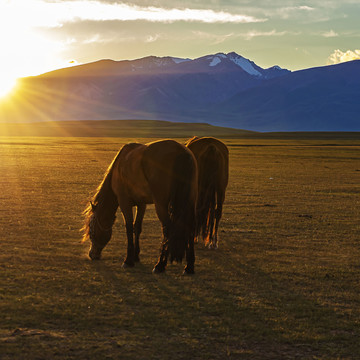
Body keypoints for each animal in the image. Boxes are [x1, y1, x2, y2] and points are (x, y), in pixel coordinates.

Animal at [82, 139, 197, 274]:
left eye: (91, 229)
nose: (92, 254)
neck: (119, 166)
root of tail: (182, 152)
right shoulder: (142, 204)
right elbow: (137, 227)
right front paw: (135, 256)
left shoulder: (124, 202)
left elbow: (129, 228)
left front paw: (128, 260)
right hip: (190, 203)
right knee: (190, 228)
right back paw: (189, 266)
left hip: (161, 205)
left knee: (167, 228)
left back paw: (160, 265)